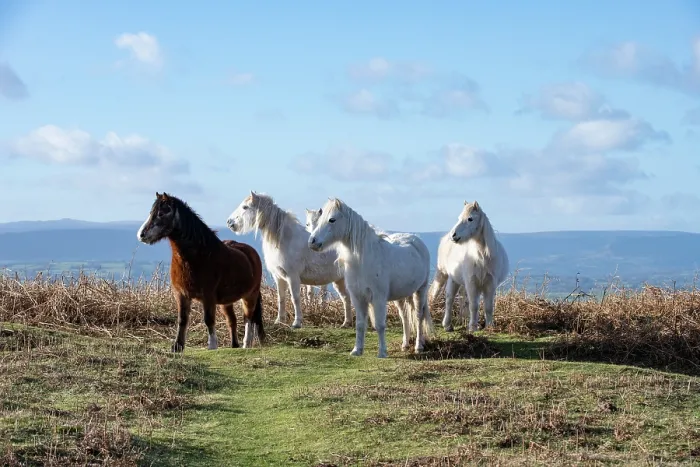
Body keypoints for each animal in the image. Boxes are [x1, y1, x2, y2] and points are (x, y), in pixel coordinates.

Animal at [137, 192, 265, 352]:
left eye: (161, 213)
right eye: (151, 212)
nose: (141, 235)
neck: (198, 256)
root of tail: (251, 251)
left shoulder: (208, 296)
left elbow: (208, 319)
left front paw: (212, 345)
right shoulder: (181, 294)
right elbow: (182, 319)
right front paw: (177, 346)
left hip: (250, 295)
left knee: (248, 318)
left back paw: (246, 344)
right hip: (226, 302)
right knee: (232, 320)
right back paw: (234, 345)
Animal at [226, 191, 353, 328]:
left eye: (245, 207)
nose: (229, 222)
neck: (285, 239)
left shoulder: (292, 277)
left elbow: (295, 298)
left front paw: (297, 322)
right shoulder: (279, 277)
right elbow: (281, 298)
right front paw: (279, 321)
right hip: (339, 280)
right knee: (346, 298)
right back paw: (346, 323)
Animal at [308, 198, 433, 358]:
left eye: (332, 220)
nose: (312, 242)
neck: (363, 259)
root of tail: (416, 240)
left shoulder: (378, 298)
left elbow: (380, 325)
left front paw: (382, 352)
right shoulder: (357, 297)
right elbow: (360, 324)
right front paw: (357, 350)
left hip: (420, 291)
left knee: (418, 316)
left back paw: (418, 346)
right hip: (401, 296)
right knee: (405, 317)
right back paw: (405, 345)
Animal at [432, 200, 509, 332]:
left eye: (470, 219)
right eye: (459, 218)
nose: (453, 235)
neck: (482, 257)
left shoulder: (490, 284)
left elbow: (488, 307)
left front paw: (489, 326)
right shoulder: (472, 283)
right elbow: (474, 306)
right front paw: (472, 327)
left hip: (457, 280)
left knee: (459, 300)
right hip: (446, 275)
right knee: (448, 299)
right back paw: (446, 324)